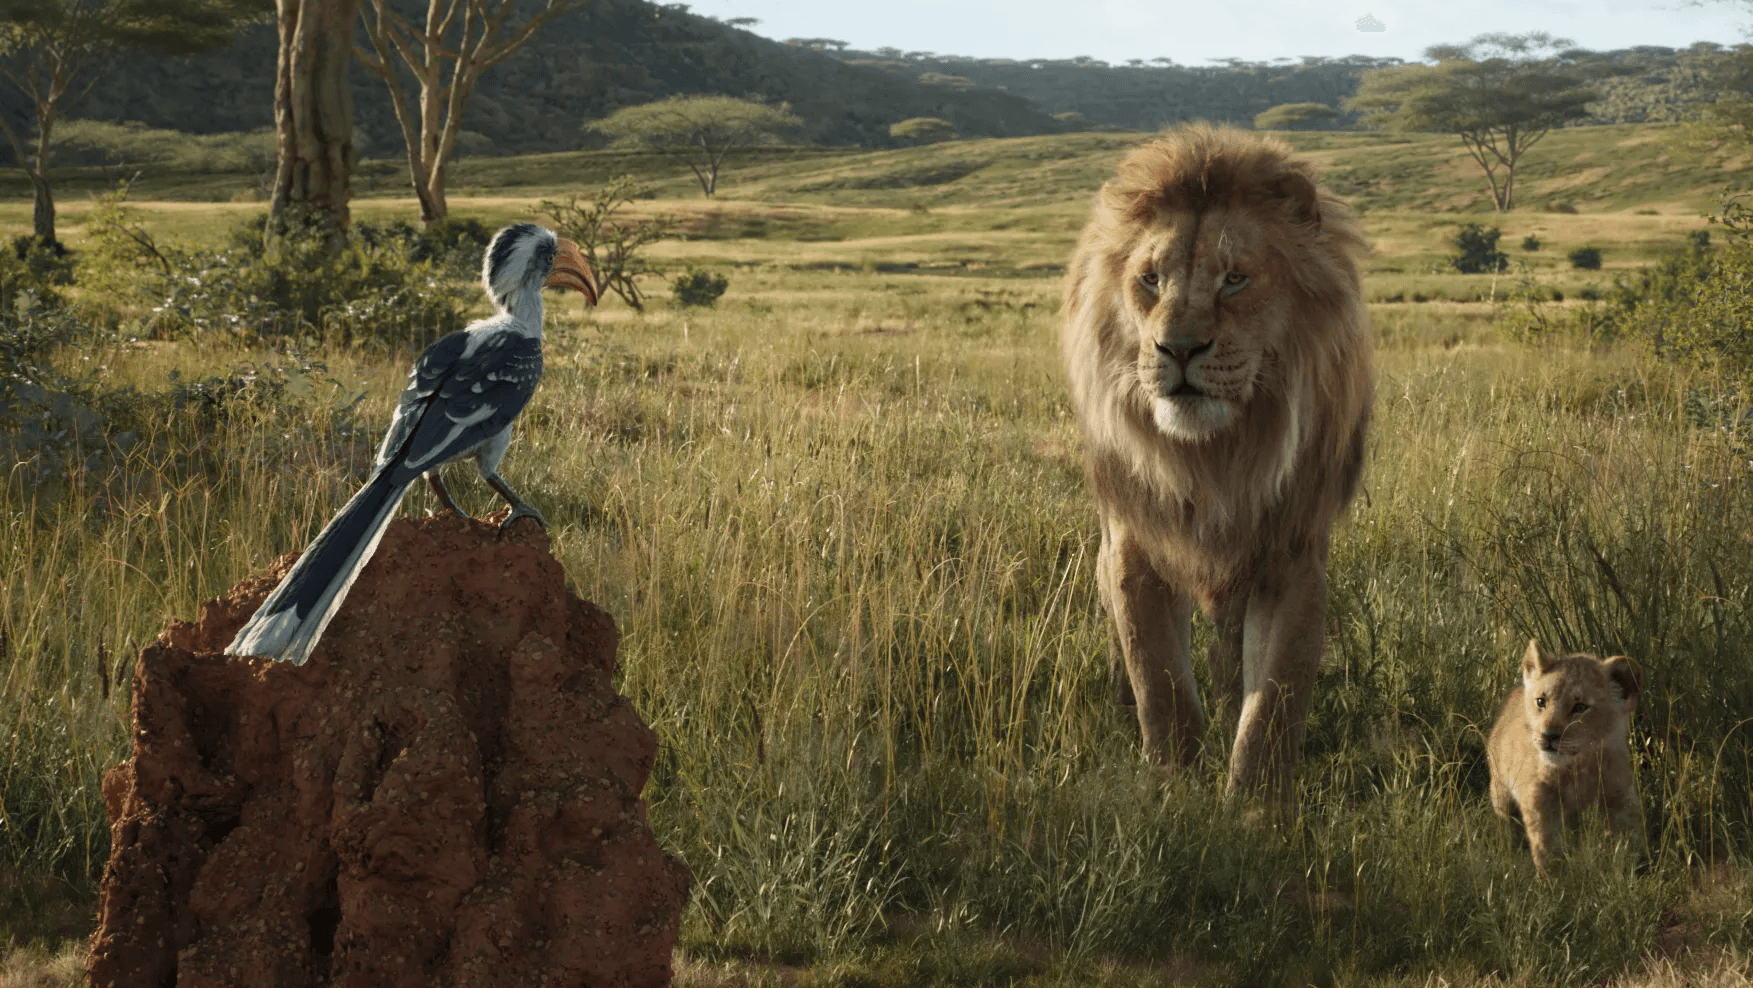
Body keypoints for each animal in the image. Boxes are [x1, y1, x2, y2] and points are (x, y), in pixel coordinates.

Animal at [1060, 124, 1373, 802]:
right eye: (1151, 279)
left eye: (1234, 279)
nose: (1176, 349)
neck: (1216, 458)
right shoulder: (1134, 544)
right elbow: (1160, 682)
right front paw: (1173, 789)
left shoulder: (1292, 556)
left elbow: (1273, 703)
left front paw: (1256, 808)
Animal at [1487, 639, 1644, 873]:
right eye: (1541, 702)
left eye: (1580, 707)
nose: (1548, 735)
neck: (1579, 767)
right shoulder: (1539, 797)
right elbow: (1546, 844)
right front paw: (1551, 879)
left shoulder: (1620, 794)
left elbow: (1628, 840)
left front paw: (1631, 870)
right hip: (1500, 789)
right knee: (1506, 824)